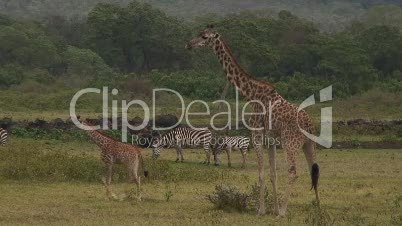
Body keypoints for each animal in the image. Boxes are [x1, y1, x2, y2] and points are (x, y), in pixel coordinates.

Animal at [186, 27, 320, 216]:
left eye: (204, 37)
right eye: (199, 33)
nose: (189, 44)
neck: (251, 93)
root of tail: (309, 124)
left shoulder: (256, 134)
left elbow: (261, 173)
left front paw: (262, 210)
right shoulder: (271, 140)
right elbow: (273, 174)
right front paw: (273, 208)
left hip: (291, 143)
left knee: (293, 172)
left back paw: (283, 212)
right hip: (308, 144)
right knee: (313, 171)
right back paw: (318, 208)